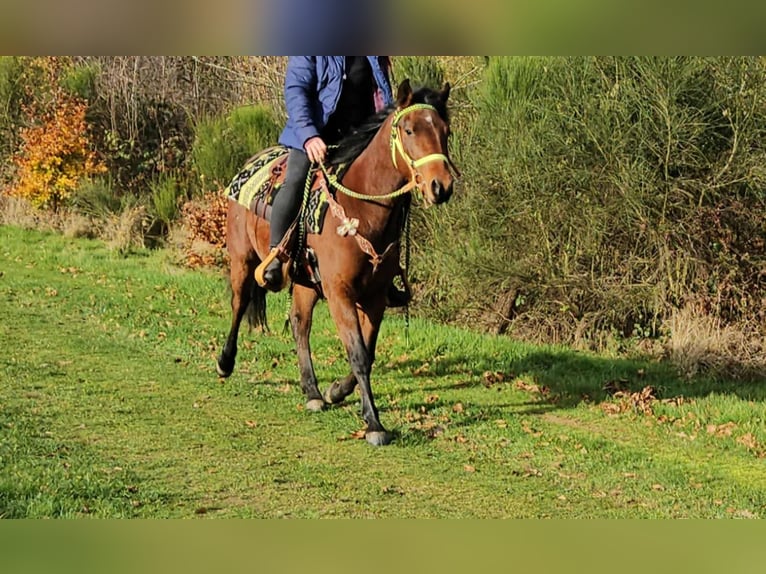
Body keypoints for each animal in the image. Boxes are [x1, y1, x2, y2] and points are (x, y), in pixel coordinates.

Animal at [216, 79, 458, 446]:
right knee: (240, 302)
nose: (440, 186)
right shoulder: (339, 291)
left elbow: (367, 352)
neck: (362, 210)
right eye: (409, 130)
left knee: (299, 323)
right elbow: (357, 351)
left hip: (304, 280)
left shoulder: (374, 296)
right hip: (243, 259)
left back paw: (312, 392)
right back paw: (225, 362)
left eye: (445, 131)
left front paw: (337, 391)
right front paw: (374, 423)